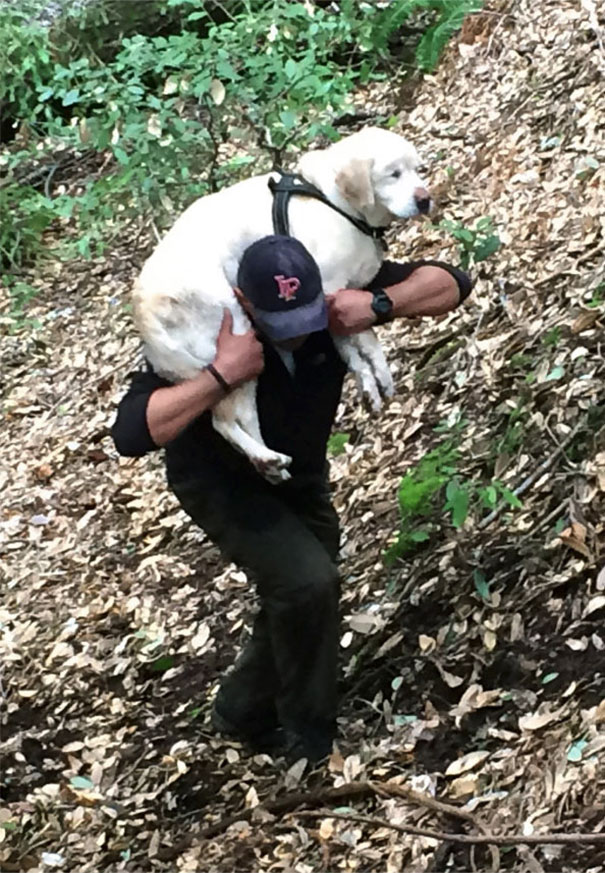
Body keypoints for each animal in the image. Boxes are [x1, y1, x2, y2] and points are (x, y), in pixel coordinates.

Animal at [134, 127, 428, 484]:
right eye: (393, 174)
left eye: (419, 169)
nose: (425, 198)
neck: (334, 201)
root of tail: (144, 308)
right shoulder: (331, 289)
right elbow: (362, 339)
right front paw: (376, 374)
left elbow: (353, 349)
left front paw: (371, 383)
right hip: (236, 337)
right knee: (224, 421)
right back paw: (267, 457)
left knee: (244, 419)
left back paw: (273, 465)